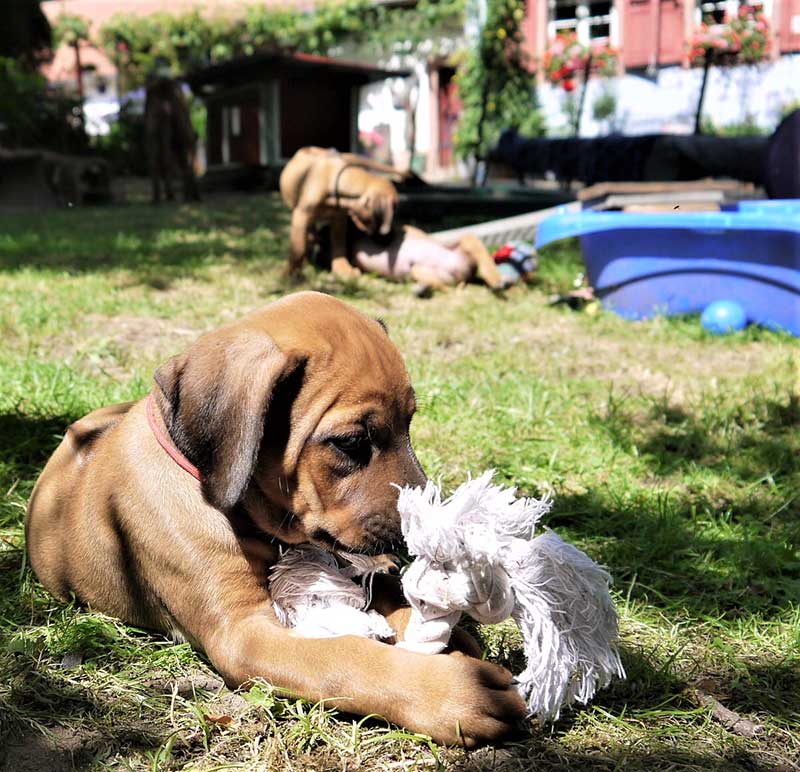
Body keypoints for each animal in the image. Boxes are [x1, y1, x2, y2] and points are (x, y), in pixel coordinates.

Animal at [26, 292, 524, 744]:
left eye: (410, 424)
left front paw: (447, 637)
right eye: (351, 442)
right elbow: (341, 657)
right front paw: (456, 691)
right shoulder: (242, 631)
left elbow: (384, 593)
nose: (423, 536)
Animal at [282, 147, 404, 278]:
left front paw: (342, 269)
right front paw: (291, 272)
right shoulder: (301, 215)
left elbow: (339, 245)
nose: (391, 238)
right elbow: (297, 248)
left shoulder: (339, 218)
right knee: (307, 236)